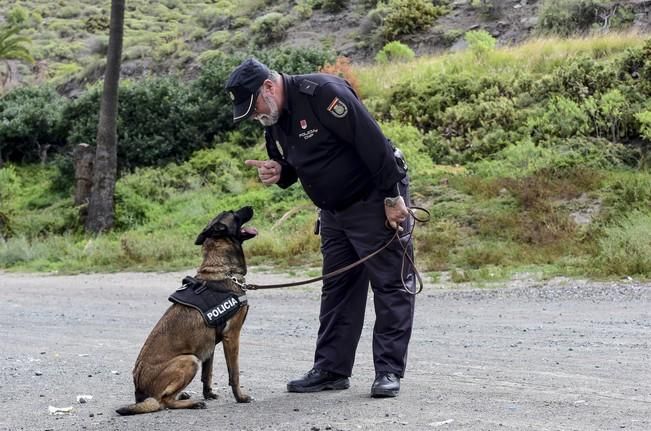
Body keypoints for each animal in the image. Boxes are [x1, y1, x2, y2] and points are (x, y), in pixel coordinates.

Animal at [117, 208, 258, 416]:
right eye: (234, 213)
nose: (250, 206)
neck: (222, 270)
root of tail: (139, 392)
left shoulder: (209, 346)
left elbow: (207, 374)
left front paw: (209, 393)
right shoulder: (231, 336)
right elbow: (234, 373)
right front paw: (240, 397)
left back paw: (184, 396)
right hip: (189, 360)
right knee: (164, 401)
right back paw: (192, 403)